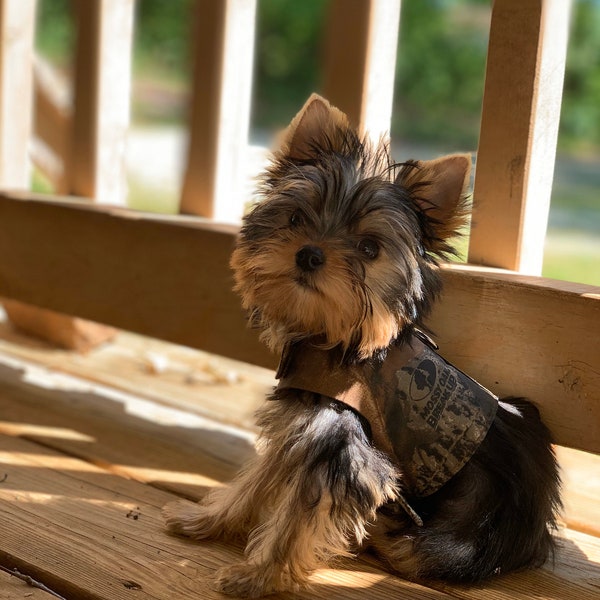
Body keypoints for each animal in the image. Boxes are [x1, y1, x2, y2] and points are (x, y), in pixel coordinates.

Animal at [162, 96, 560, 596]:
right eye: (296, 218)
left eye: (370, 248)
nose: (309, 253)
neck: (338, 342)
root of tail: (534, 536)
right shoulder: (300, 427)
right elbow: (258, 479)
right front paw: (209, 520)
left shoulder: (341, 447)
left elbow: (298, 515)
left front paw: (259, 576)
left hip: (465, 526)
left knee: (416, 550)